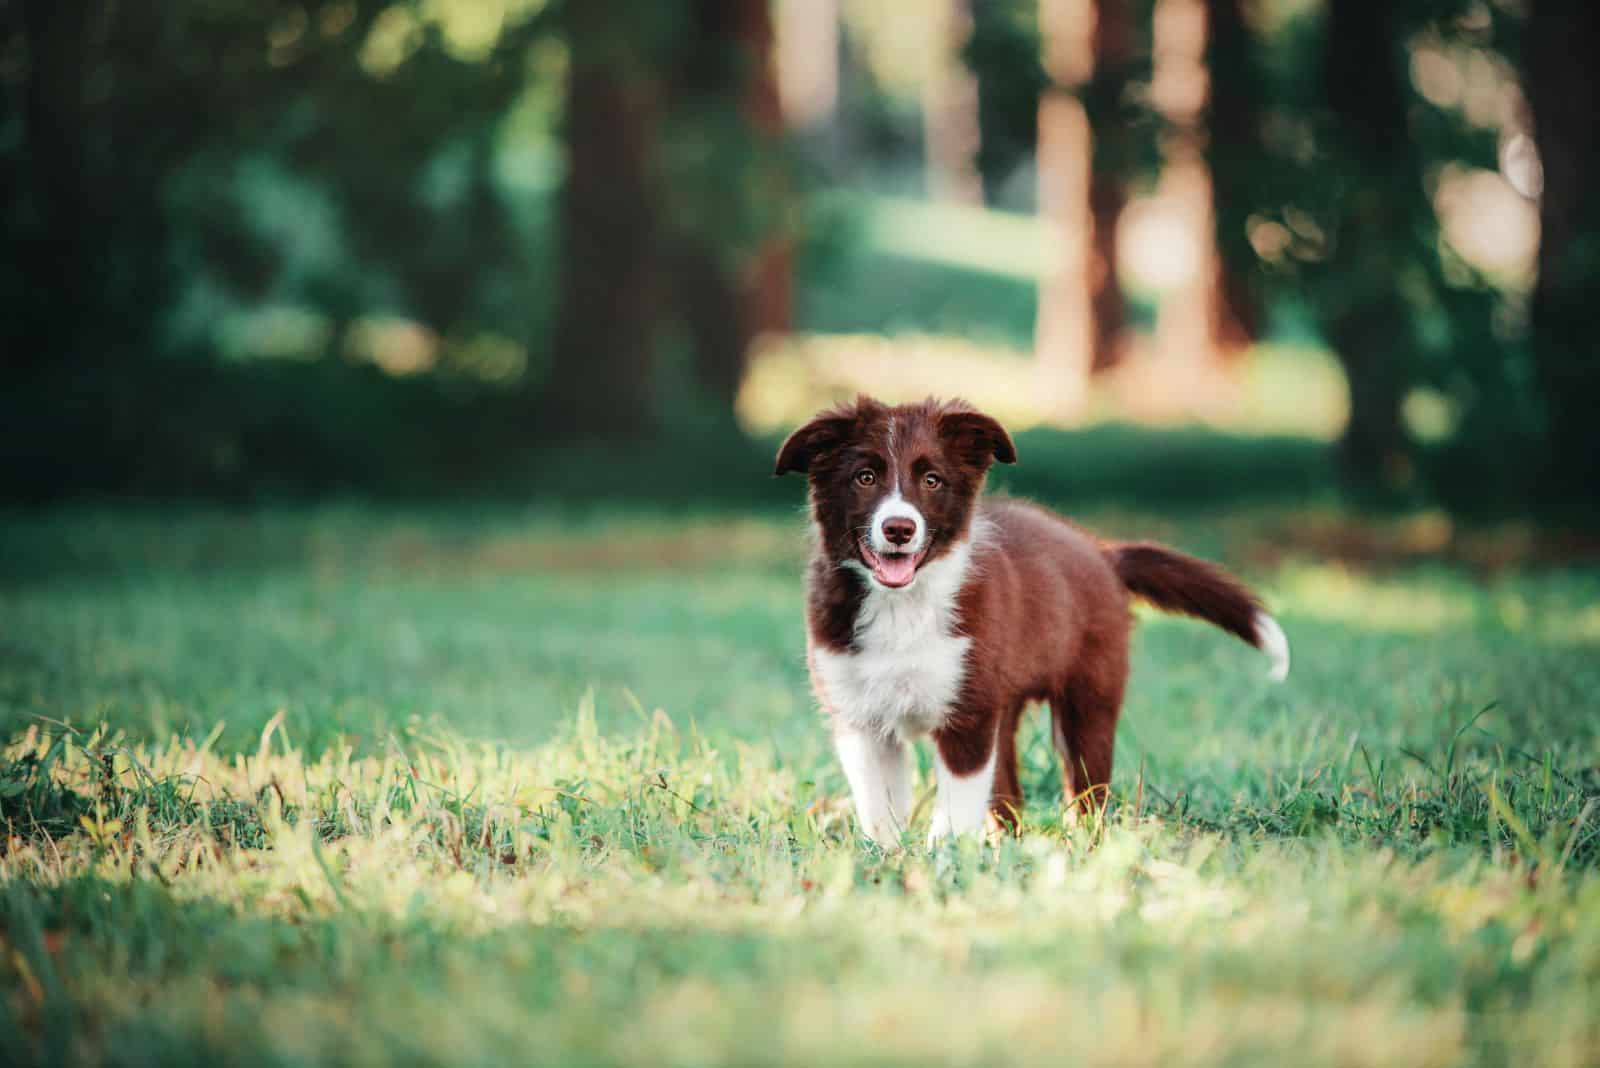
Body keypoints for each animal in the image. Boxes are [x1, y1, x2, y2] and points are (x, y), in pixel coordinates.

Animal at [774, 391, 1286, 844]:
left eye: (932, 480)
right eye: (864, 477)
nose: (899, 529)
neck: (903, 606)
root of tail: (1103, 552)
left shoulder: (968, 715)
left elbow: (955, 810)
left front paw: (943, 862)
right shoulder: (862, 719)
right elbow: (880, 811)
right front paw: (890, 861)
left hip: (1088, 700)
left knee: (1086, 791)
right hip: (1006, 704)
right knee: (1009, 792)